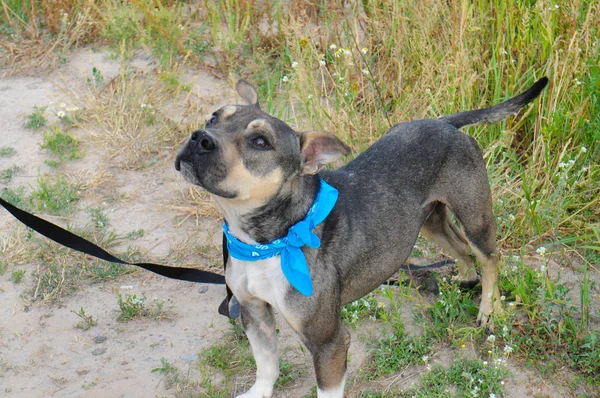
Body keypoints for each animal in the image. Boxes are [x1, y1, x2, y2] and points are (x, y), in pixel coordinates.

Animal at [173, 76, 548, 396]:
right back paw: (465, 279)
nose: (199, 138)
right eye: (214, 117)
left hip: (475, 216)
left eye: (260, 142)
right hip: (428, 222)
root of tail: (445, 122)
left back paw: (488, 308)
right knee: (461, 249)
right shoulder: (255, 314)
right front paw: (259, 392)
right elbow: (266, 365)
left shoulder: (329, 343)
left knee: (489, 257)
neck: (269, 241)